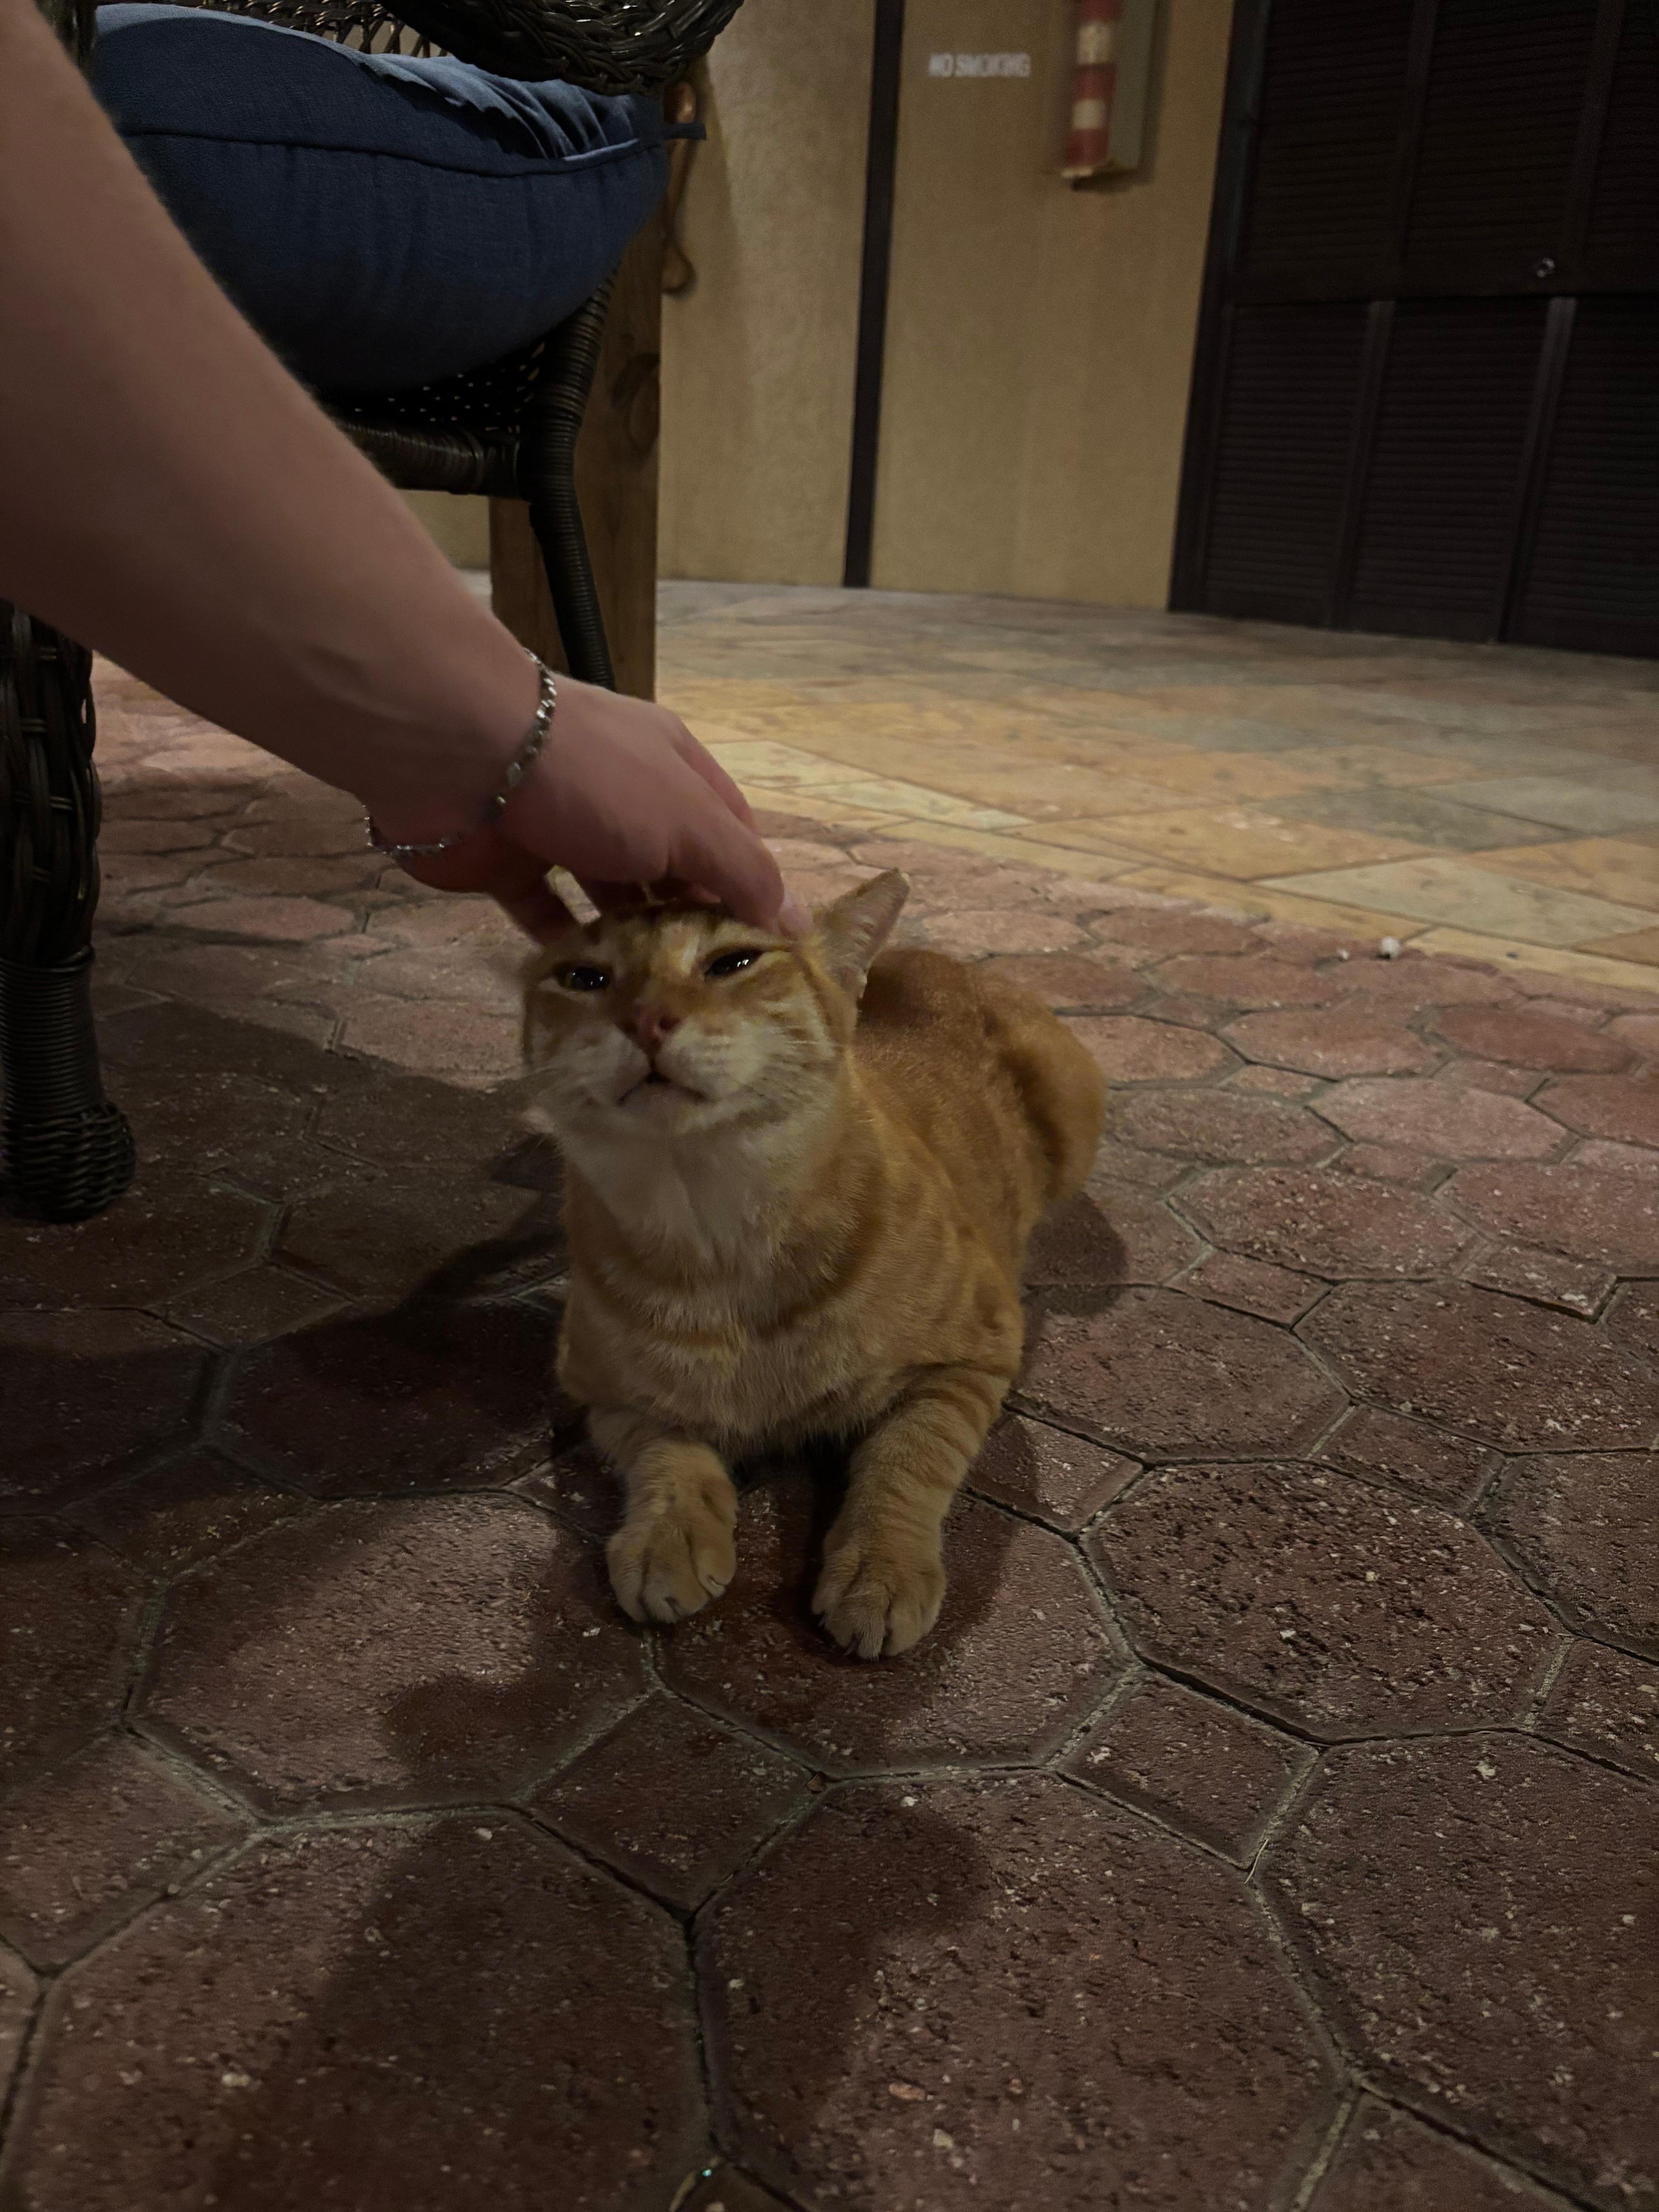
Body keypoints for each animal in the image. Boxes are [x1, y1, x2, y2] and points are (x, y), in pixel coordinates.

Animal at [521, 869, 1105, 1659]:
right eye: (584, 978)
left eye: (732, 963)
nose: (645, 1020)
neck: (717, 1233)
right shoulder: (598, 1391)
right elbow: (665, 1456)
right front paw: (667, 1537)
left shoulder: (976, 1354)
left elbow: (907, 1461)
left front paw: (880, 1568)